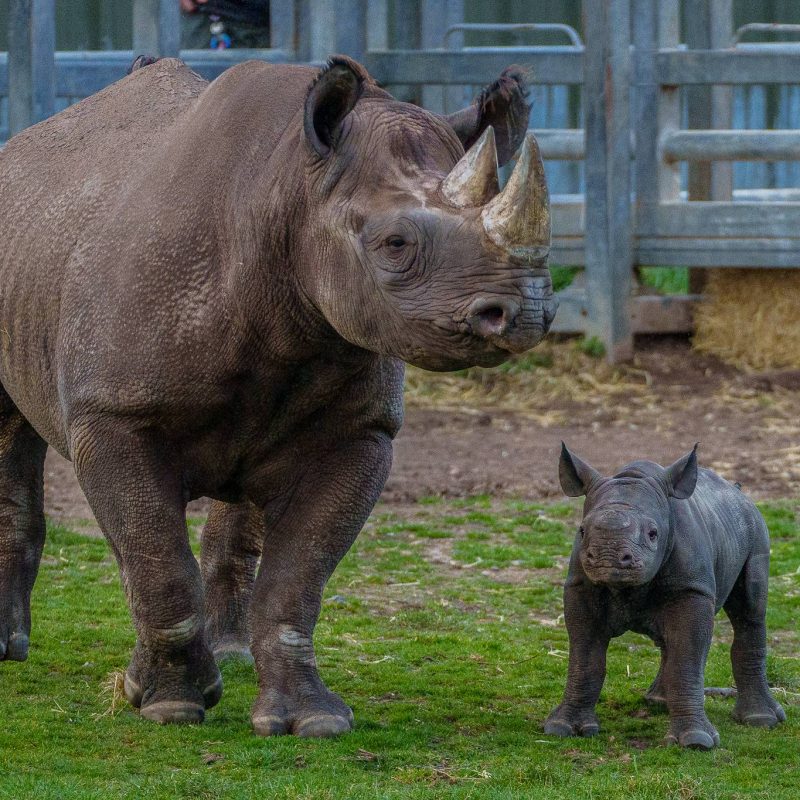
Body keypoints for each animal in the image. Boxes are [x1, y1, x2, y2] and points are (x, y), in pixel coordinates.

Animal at [548, 444, 784, 752]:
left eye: (653, 534)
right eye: (582, 530)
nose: (607, 559)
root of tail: (739, 493)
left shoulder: (693, 588)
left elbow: (687, 656)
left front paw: (696, 742)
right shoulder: (581, 585)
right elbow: (585, 659)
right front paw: (563, 728)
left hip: (755, 527)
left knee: (750, 612)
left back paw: (761, 720)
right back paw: (658, 702)